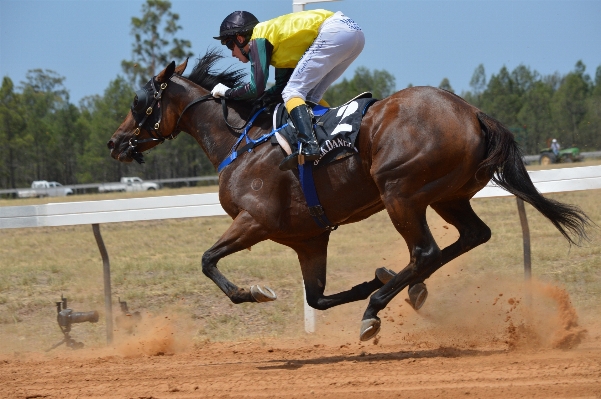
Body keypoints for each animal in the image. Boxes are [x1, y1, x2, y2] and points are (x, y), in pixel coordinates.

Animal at [105, 51, 588, 342]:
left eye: (138, 102)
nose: (115, 142)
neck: (242, 143)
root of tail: (472, 112)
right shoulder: (308, 238)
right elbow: (316, 297)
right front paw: (375, 278)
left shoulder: (255, 220)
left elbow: (207, 260)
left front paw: (255, 292)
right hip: (447, 195)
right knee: (471, 236)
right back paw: (406, 291)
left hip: (399, 191)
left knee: (426, 251)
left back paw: (377, 309)